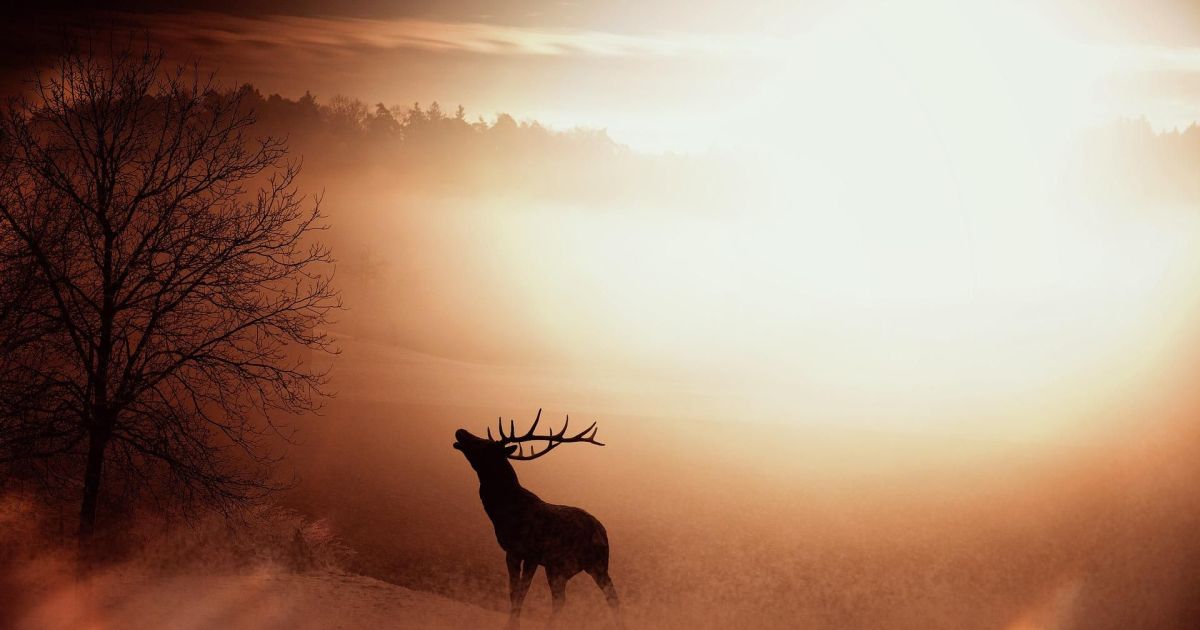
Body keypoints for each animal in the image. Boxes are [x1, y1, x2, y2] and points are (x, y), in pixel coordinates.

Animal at [453, 408, 624, 624]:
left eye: (486, 444)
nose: (461, 430)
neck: (504, 512)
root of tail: (604, 532)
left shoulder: (532, 553)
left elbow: (521, 593)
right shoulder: (511, 552)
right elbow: (513, 592)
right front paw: (511, 624)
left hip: (598, 563)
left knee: (612, 598)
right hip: (558, 567)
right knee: (560, 600)